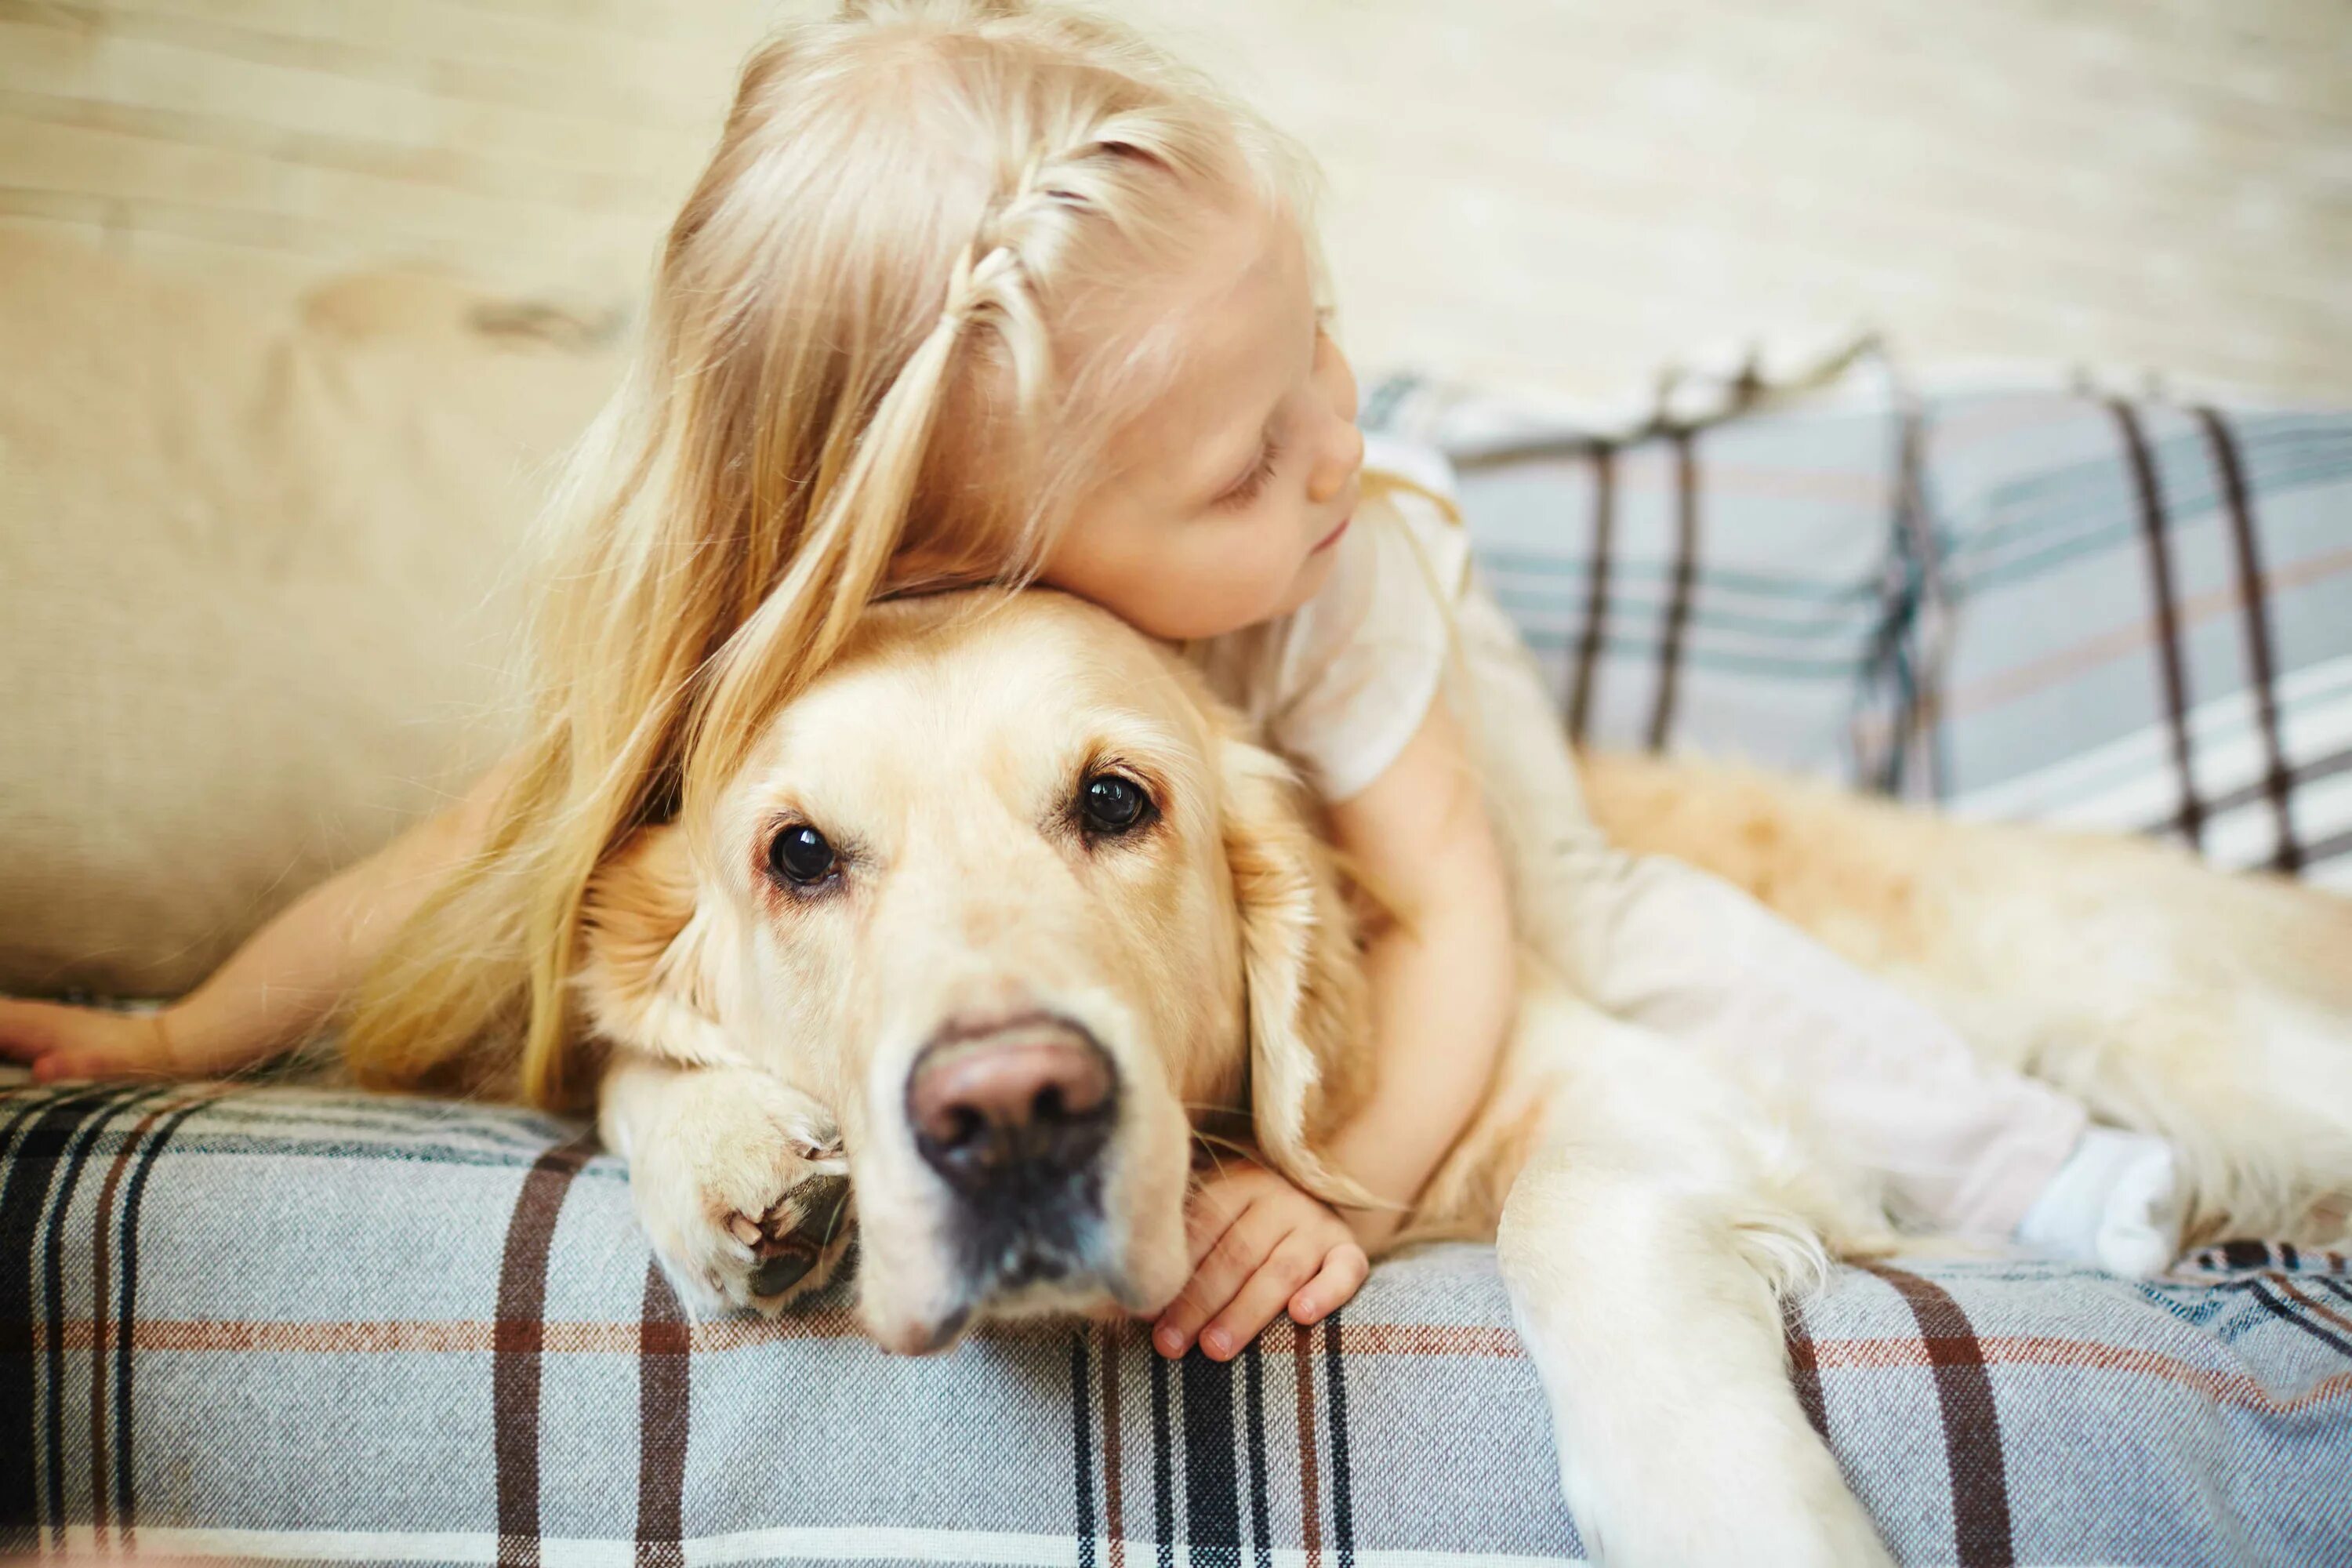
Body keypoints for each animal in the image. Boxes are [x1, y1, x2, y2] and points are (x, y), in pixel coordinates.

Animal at [579, 587, 2343, 1568]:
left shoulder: (1640, 1089)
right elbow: (617, 1060)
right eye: (799, 855)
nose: (1011, 1118)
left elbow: (1565, 1223)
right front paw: (741, 1162)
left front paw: (1737, 1522)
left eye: (1116, 801)